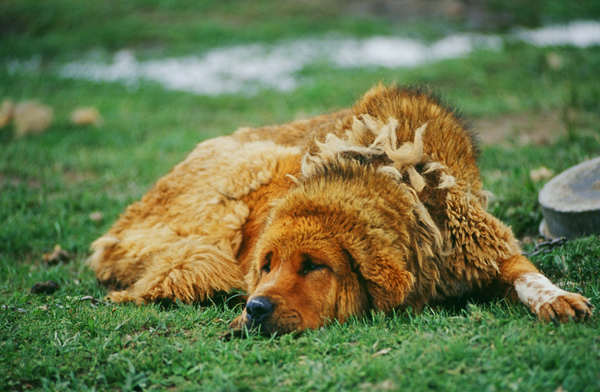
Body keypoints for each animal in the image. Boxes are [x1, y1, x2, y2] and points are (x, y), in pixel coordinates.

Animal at [88, 83, 592, 334]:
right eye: (268, 264)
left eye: (313, 266)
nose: (255, 309)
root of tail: (115, 231)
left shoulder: (481, 243)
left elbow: (528, 274)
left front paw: (556, 297)